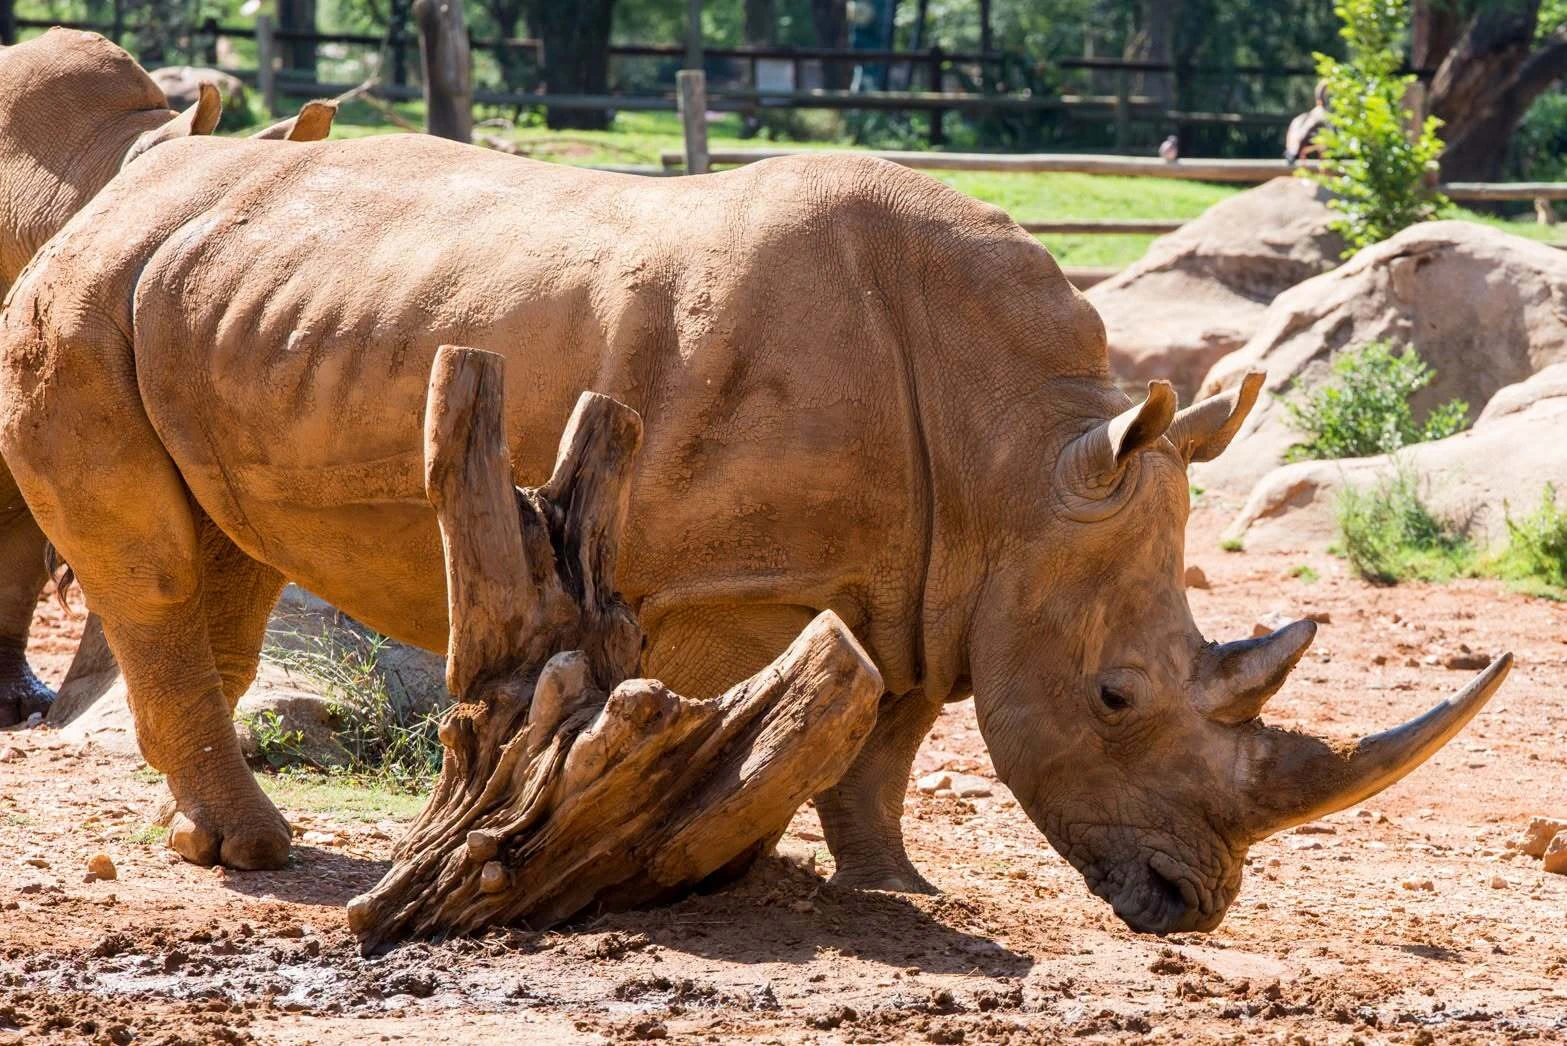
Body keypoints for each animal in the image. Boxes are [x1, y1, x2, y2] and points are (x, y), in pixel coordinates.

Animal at [0, 134, 1510, 933]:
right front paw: (702, 861)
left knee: (228, 567)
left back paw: (202, 840)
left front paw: (893, 880)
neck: (1019, 452)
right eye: (1115, 695)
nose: (1189, 903)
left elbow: (887, 734)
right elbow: (753, 718)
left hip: (193, 295)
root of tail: (119, 189)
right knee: (159, 567)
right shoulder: (721, 579)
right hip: (73, 301)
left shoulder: (930, 574)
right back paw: (254, 855)